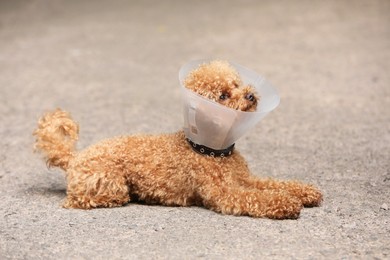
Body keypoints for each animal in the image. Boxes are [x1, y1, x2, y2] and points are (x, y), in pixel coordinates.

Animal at [33, 61, 322, 219]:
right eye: (223, 96)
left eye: (236, 84)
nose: (250, 95)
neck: (211, 150)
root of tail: (75, 157)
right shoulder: (225, 193)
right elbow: (257, 198)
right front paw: (287, 203)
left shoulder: (244, 178)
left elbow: (273, 184)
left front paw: (304, 192)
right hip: (109, 183)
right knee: (80, 200)